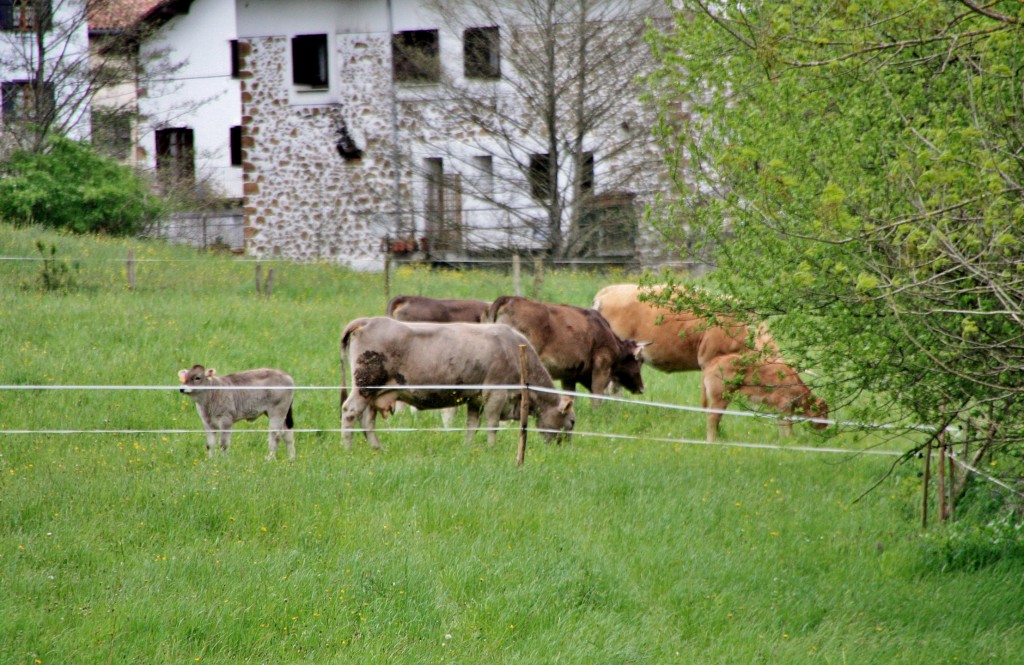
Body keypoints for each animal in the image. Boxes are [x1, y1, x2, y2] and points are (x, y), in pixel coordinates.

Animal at [485, 295, 643, 403]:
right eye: (638, 361)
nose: (642, 388)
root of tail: (510, 299)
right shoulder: (602, 368)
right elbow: (597, 396)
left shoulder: (569, 375)